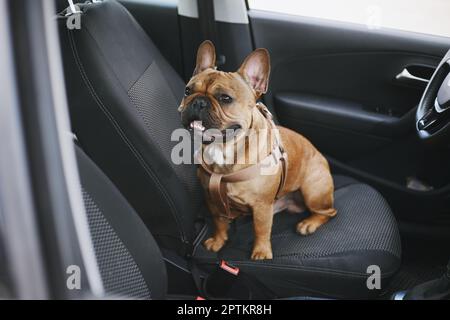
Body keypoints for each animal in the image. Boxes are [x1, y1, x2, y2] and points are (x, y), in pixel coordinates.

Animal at [178, 40, 336, 260]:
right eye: (187, 91)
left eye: (225, 98)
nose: (199, 101)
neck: (225, 149)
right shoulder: (211, 199)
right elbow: (219, 222)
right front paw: (218, 241)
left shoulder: (261, 206)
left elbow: (261, 229)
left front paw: (261, 251)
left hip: (313, 191)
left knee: (328, 212)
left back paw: (308, 224)